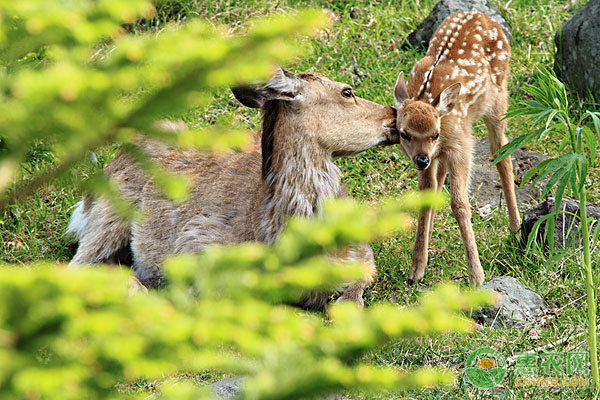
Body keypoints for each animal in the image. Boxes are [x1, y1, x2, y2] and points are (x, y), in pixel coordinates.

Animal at [69, 67, 398, 308]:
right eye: (347, 91)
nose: (393, 114)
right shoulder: (198, 246)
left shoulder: (362, 252)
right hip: (109, 217)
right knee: (80, 265)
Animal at [394, 11, 520, 284]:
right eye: (404, 134)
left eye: (435, 133)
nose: (421, 160)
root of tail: (481, 15)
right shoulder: (432, 155)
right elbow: (426, 196)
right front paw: (416, 269)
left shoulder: (461, 146)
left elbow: (460, 204)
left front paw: (477, 276)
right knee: (440, 178)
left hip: (498, 99)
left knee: (502, 154)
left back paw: (516, 229)